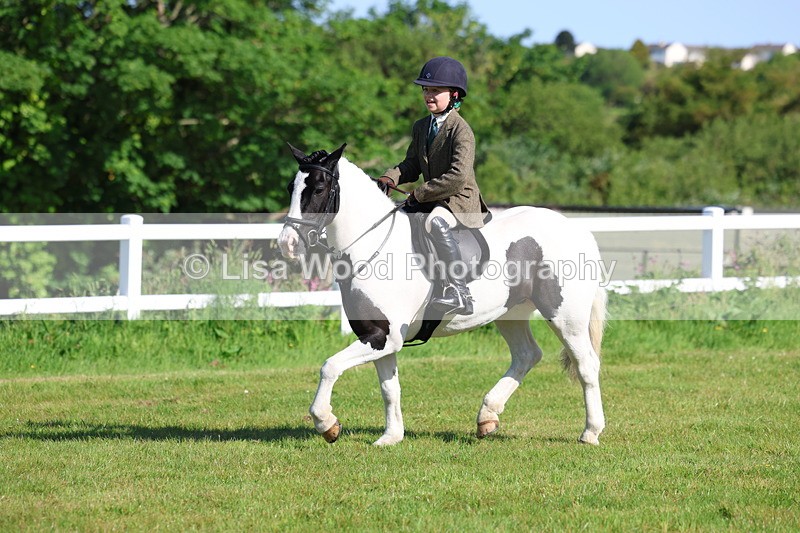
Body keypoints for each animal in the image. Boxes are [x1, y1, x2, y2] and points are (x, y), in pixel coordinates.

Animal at [278, 143, 608, 446]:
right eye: (291, 188)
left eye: (319, 188)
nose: (287, 244)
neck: (373, 245)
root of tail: (577, 230)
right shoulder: (379, 336)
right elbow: (389, 388)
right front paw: (391, 436)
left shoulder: (383, 337)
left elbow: (329, 367)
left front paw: (326, 423)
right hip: (510, 313)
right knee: (527, 355)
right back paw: (487, 417)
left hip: (565, 317)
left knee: (586, 365)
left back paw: (590, 432)